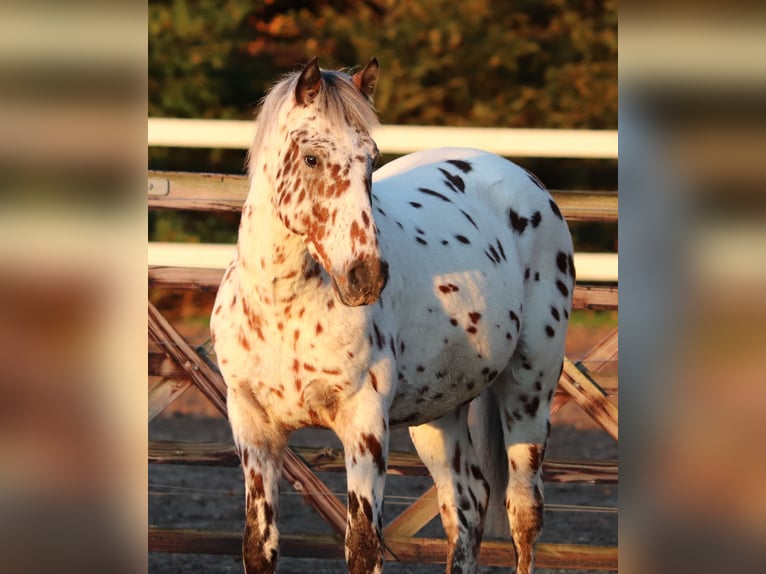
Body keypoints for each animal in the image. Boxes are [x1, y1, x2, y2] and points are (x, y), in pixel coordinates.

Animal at [212, 59, 576, 574]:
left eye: (371, 159)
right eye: (311, 159)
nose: (366, 275)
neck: (282, 308)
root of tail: (526, 182)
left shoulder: (364, 424)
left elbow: (363, 546)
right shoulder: (253, 427)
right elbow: (259, 547)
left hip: (530, 391)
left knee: (523, 513)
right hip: (439, 411)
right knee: (467, 504)